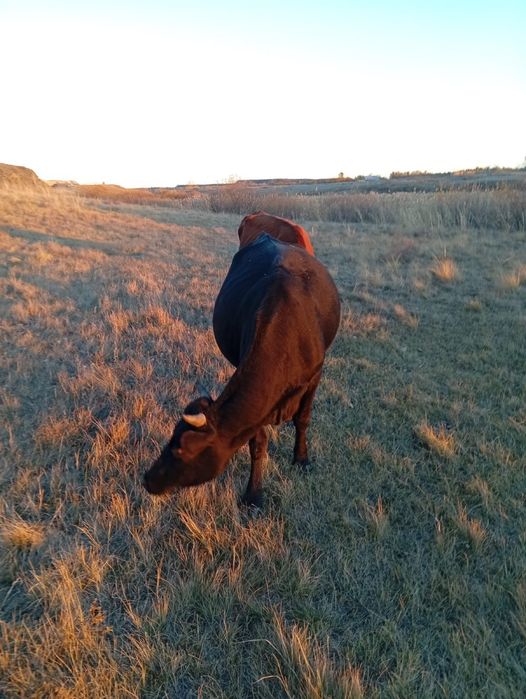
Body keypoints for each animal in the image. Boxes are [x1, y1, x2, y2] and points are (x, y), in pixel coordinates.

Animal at [143, 232, 340, 509]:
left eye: (181, 448)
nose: (147, 479)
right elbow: (257, 443)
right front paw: (254, 494)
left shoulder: (315, 376)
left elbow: (303, 419)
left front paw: (301, 459)